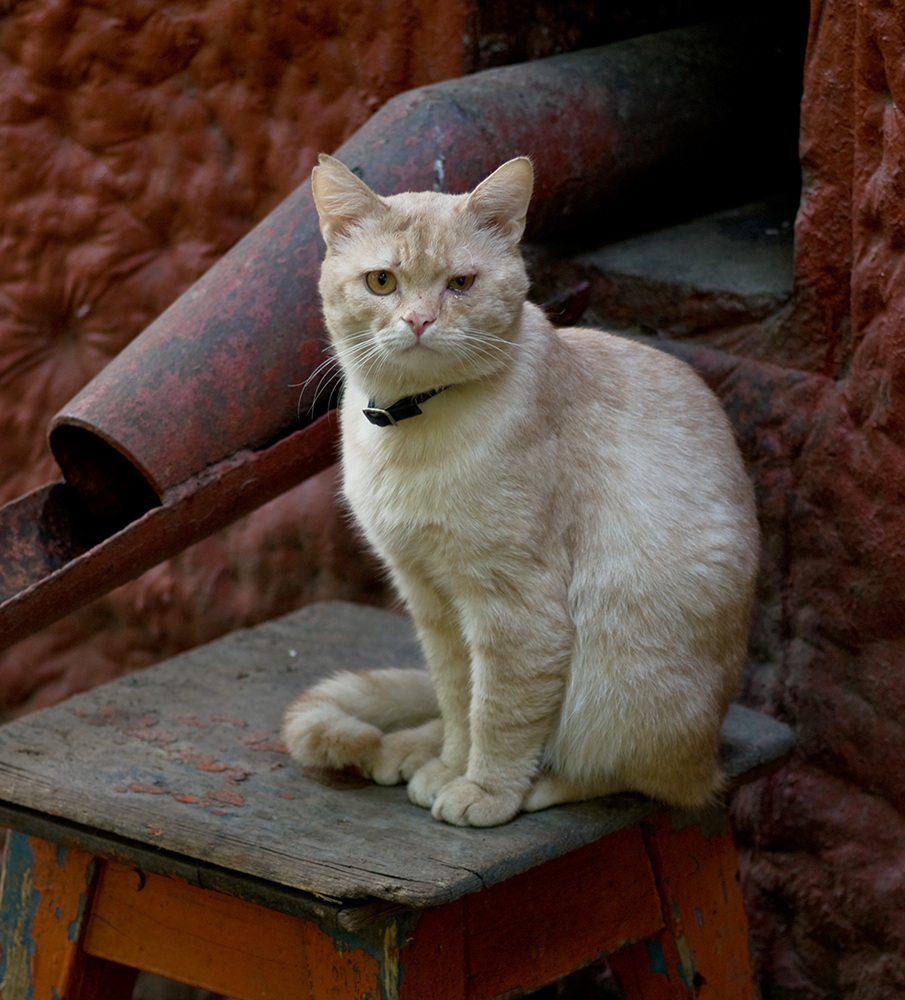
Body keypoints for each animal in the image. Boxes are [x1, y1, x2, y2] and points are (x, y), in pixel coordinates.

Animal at [280, 154, 756, 828]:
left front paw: (483, 790)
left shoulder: (516, 606)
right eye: (381, 282)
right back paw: (410, 749)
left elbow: (501, 713)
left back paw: (535, 784)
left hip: (619, 670)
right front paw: (450, 766)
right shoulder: (431, 598)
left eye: (460, 284)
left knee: (648, 779)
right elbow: (459, 700)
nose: (419, 321)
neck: (413, 427)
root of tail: (715, 745)